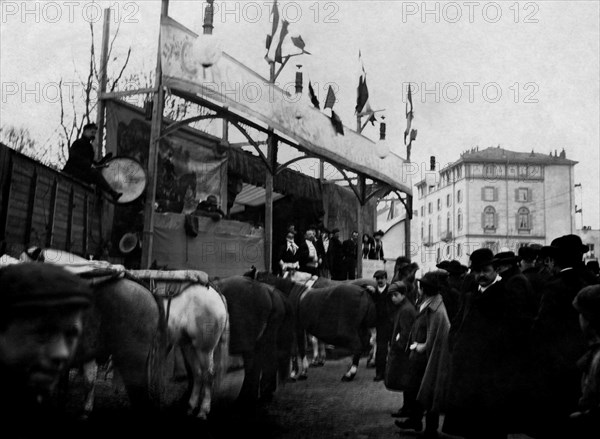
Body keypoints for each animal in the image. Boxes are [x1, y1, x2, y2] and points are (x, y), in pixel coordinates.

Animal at [19, 249, 230, 422]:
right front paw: (84, 409)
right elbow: (88, 379)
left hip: (205, 347)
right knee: (198, 374)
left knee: (208, 375)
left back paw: (203, 410)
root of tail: (216, 293)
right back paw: (190, 408)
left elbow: (87, 379)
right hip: (189, 345)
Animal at [213, 276, 292, 408]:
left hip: (250, 337)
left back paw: (247, 398)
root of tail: (270, 292)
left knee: (256, 363)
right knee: (267, 359)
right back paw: (262, 394)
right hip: (268, 331)